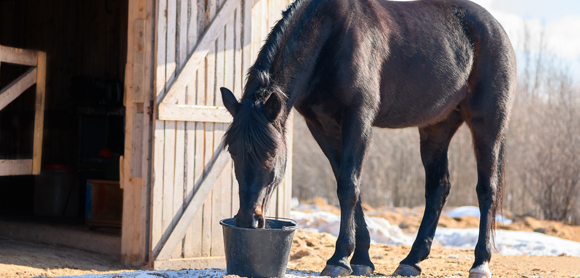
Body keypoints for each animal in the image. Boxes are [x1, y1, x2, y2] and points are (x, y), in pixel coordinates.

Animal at [220, 0, 516, 274]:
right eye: (232, 152)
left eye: (271, 153)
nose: (248, 220)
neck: (332, 36)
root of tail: (496, 28)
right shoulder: (323, 128)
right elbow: (350, 186)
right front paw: (361, 259)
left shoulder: (358, 119)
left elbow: (348, 187)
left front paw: (339, 260)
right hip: (437, 128)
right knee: (438, 187)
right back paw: (411, 261)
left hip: (487, 125)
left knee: (486, 189)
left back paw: (480, 263)